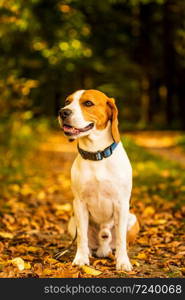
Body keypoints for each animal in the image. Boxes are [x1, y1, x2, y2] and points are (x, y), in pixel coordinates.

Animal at [58, 89, 139, 272]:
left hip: (132, 220)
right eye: (67, 102)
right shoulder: (79, 203)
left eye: (88, 103)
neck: (97, 155)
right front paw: (81, 258)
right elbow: (82, 237)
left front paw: (123, 262)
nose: (63, 112)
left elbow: (121, 239)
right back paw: (88, 252)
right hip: (72, 221)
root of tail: (103, 248)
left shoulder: (121, 203)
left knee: (119, 242)